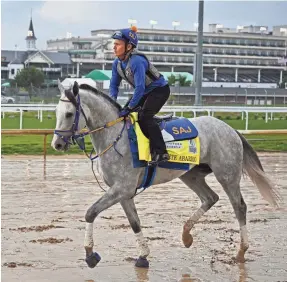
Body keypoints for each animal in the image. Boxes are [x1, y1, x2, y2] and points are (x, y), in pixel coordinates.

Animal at [52, 81, 282, 268]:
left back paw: (241, 251)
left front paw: (90, 254)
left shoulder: (121, 188)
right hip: (190, 175)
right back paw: (186, 236)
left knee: (239, 206)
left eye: (69, 114)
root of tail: (231, 129)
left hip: (227, 175)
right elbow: (134, 222)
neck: (115, 136)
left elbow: (90, 212)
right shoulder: (123, 192)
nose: (57, 144)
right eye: (56, 112)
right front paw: (143, 256)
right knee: (210, 198)